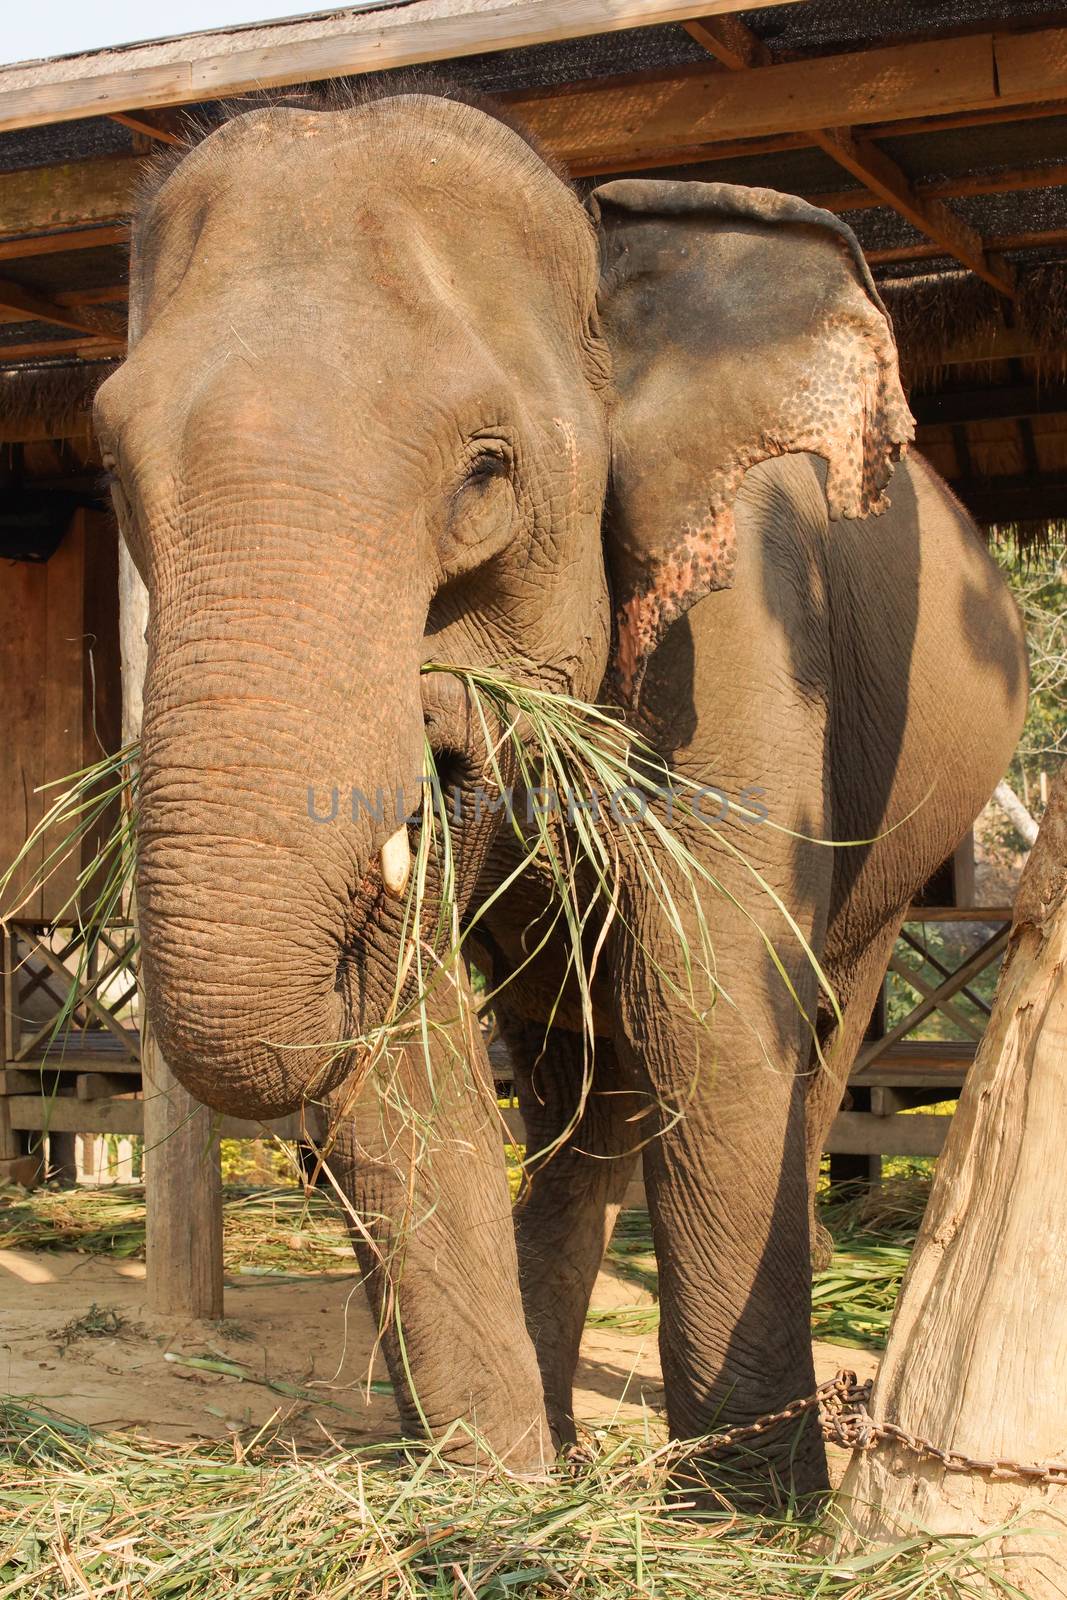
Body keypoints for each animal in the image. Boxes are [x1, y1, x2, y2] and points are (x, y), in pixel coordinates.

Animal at [95, 93, 1030, 1497]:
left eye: (485, 474)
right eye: (111, 464)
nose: (432, 739)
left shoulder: (744, 617)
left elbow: (706, 1002)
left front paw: (746, 1506)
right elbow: (414, 1060)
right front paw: (495, 1490)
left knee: (810, 1013)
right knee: (575, 1075)